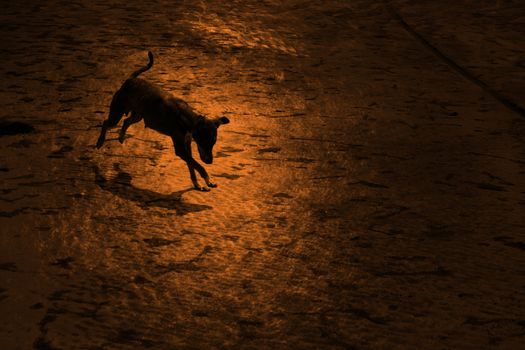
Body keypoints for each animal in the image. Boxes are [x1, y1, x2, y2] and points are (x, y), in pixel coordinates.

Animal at [95, 52, 229, 191]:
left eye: (213, 142)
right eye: (203, 141)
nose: (210, 161)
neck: (186, 118)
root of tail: (130, 80)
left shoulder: (187, 145)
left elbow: (191, 166)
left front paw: (197, 184)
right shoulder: (181, 149)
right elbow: (198, 165)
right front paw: (208, 180)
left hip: (138, 116)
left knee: (126, 121)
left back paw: (121, 137)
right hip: (117, 114)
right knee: (106, 122)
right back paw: (100, 141)